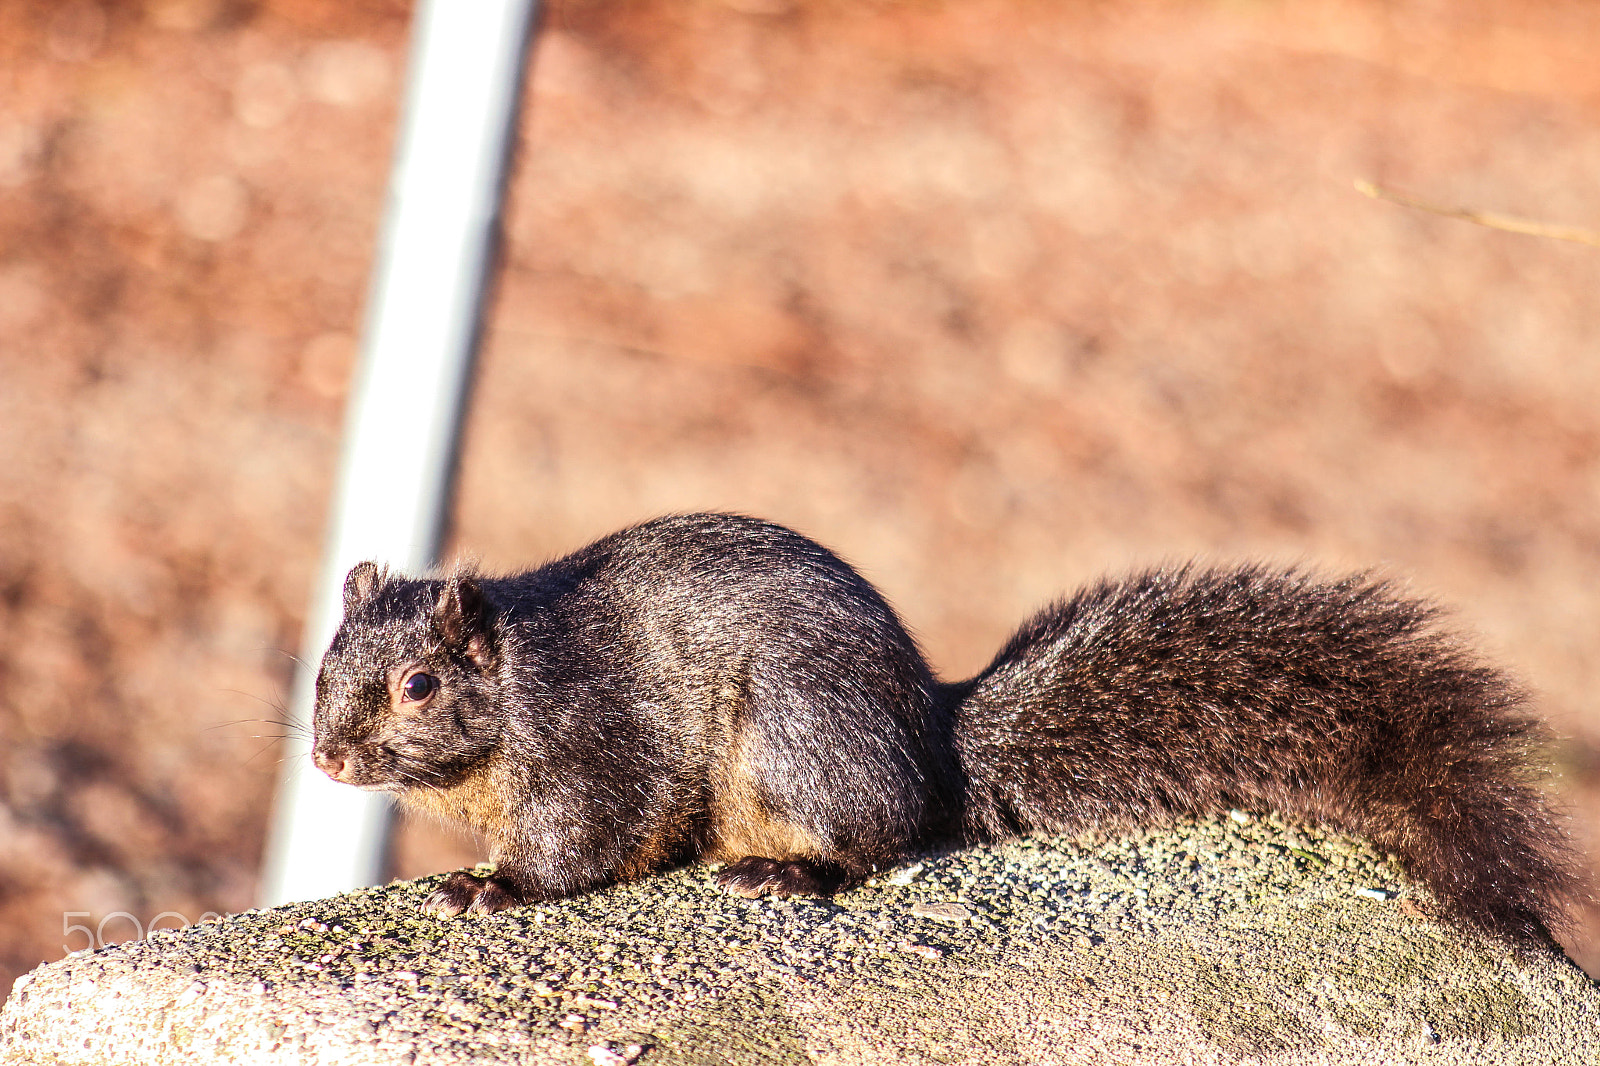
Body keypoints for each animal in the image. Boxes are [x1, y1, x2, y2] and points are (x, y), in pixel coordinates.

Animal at [310, 512, 1580, 949]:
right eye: (325, 661)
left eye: (419, 684)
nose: (325, 755)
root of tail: (932, 741)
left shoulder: (590, 740)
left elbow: (580, 835)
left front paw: (496, 887)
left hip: (796, 737)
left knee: (876, 839)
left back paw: (788, 872)